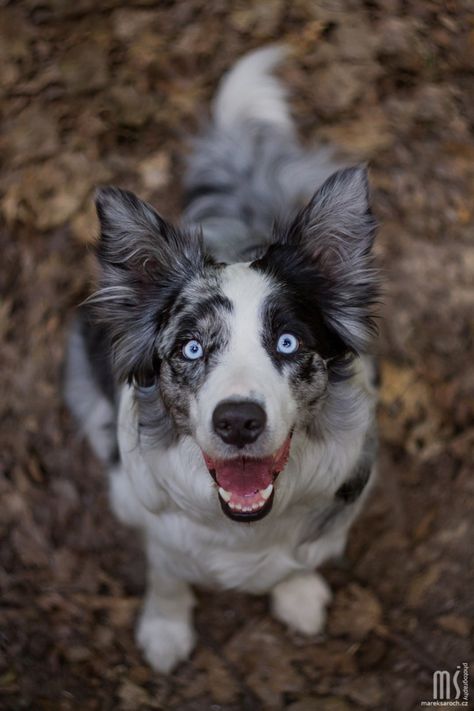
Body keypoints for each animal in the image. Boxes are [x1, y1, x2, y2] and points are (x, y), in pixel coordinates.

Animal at [65, 46, 378, 672]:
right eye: (190, 347)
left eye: (287, 343)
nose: (238, 422)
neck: (245, 524)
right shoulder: (163, 536)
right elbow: (166, 575)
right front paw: (164, 629)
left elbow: (299, 558)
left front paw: (297, 593)